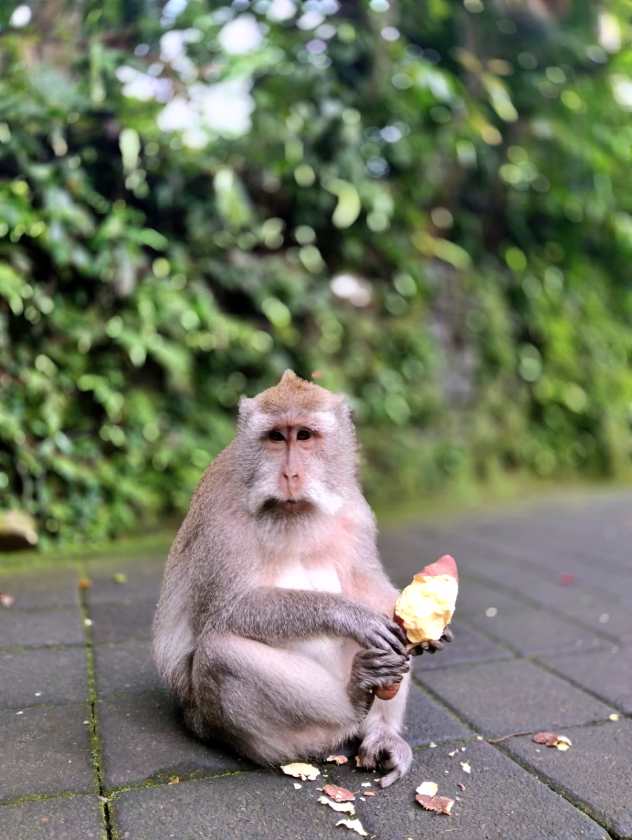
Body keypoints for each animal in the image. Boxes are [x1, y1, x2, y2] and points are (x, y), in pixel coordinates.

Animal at [153, 370, 452, 787]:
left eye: (305, 436)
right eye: (277, 437)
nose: (290, 474)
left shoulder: (356, 510)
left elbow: (373, 590)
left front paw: (427, 627)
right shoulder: (222, 519)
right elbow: (225, 612)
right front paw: (349, 616)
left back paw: (380, 733)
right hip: (229, 727)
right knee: (220, 655)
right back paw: (354, 695)